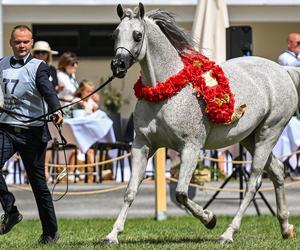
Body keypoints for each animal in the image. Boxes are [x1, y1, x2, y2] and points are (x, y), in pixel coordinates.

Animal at [105, 1, 296, 244]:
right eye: (115, 34)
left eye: (137, 35)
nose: (118, 66)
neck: (165, 92)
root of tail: (283, 71)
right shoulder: (142, 145)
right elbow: (130, 191)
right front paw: (112, 234)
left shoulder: (191, 147)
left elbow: (181, 193)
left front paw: (210, 218)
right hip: (250, 138)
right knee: (278, 171)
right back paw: (286, 227)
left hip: (268, 133)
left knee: (254, 182)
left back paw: (228, 233)